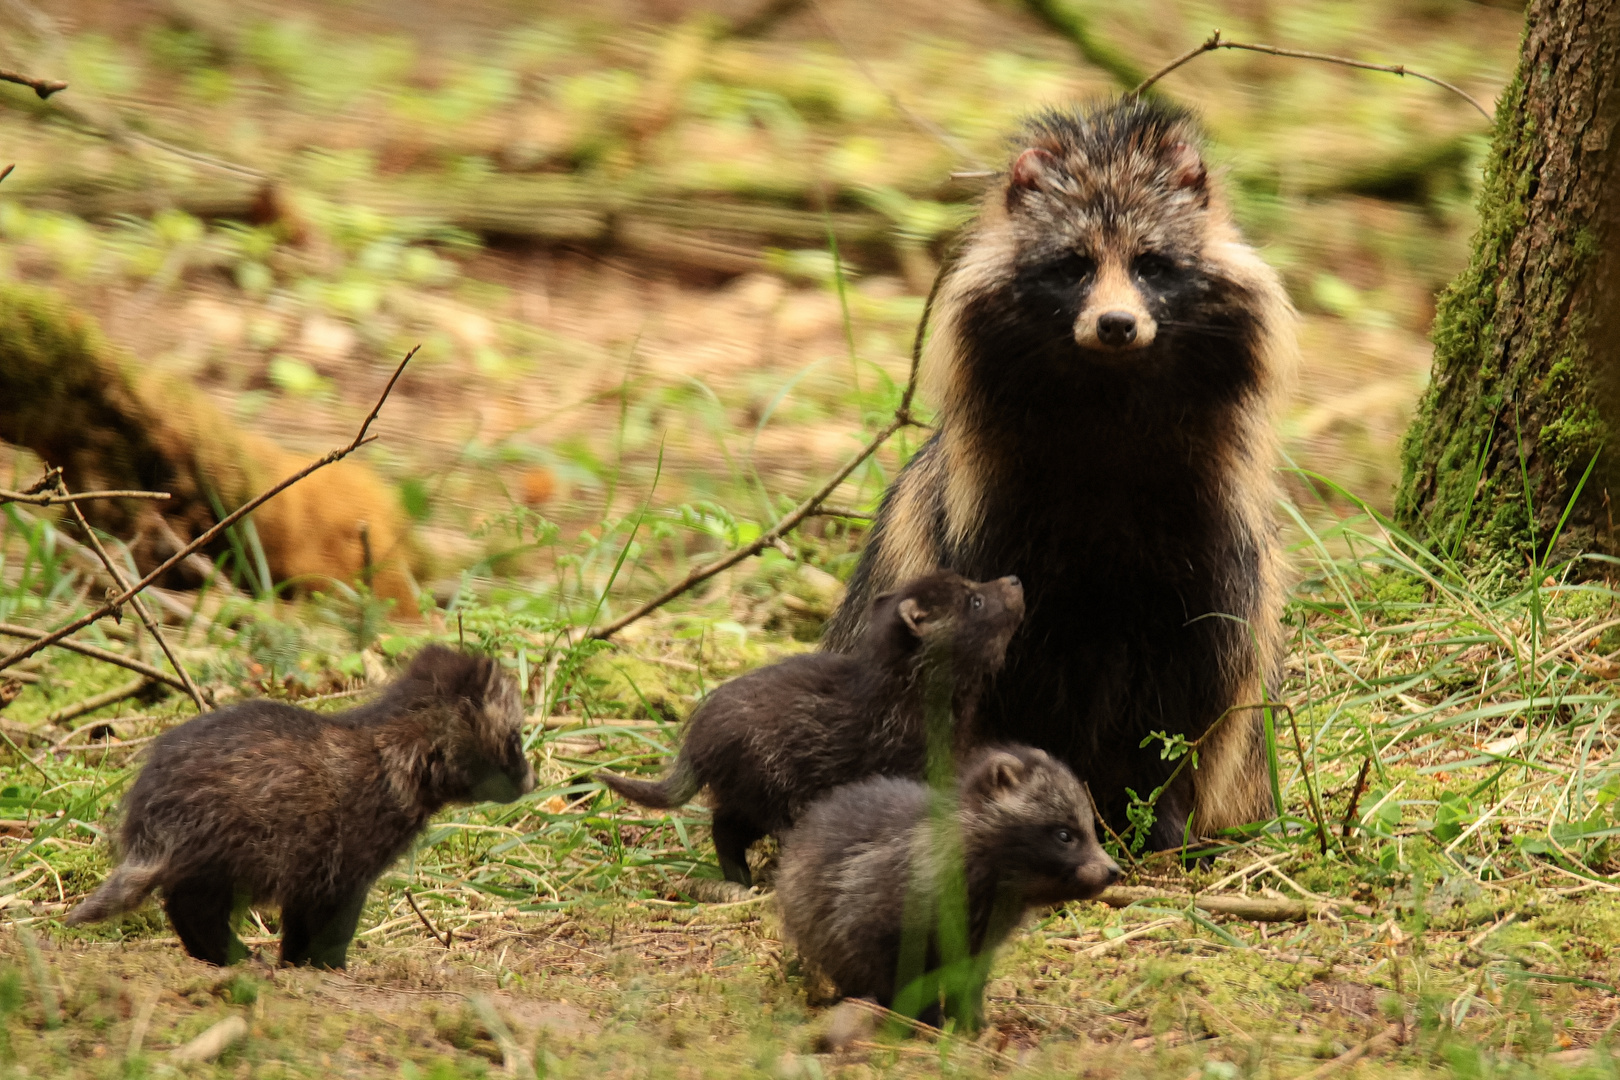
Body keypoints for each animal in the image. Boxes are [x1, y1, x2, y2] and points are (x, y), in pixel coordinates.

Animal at [66, 647, 534, 965]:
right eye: (516, 737)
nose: (534, 779)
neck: (400, 751)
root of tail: (149, 818)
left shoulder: (311, 868)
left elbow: (298, 930)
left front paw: (296, 962)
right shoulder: (344, 865)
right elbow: (331, 930)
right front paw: (327, 966)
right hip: (233, 848)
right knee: (193, 909)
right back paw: (236, 956)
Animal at [596, 569, 1023, 880]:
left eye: (973, 586)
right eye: (975, 601)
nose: (1015, 580)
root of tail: (695, 743)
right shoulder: (905, 765)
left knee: (724, 828)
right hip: (768, 789)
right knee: (729, 830)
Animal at [777, 744, 1121, 1029]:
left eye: (1090, 827)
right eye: (1065, 835)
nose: (1113, 871)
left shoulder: (981, 934)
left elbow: (969, 977)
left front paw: (970, 1020)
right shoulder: (881, 905)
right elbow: (905, 970)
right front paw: (926, 1020)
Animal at [822, 97, 1289, 848]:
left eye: (1152, 265)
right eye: (1072, 266)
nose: (1117, 324)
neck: (1109, 398)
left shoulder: (1213, 543)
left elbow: (1196, 697)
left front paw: (1165, 815)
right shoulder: (988, 529)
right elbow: (1000, 684)